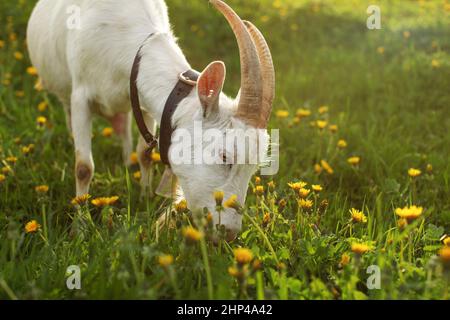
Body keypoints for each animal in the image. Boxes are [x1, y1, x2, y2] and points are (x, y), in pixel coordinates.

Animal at [28, 0, 276, 240]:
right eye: (224, 156)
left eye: (254, 167)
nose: (229, 233)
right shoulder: (81, 97)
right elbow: (83, 167)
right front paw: (79, 229)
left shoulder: (141, 99)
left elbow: (145, 154)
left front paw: (145, 196)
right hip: (65, 93)